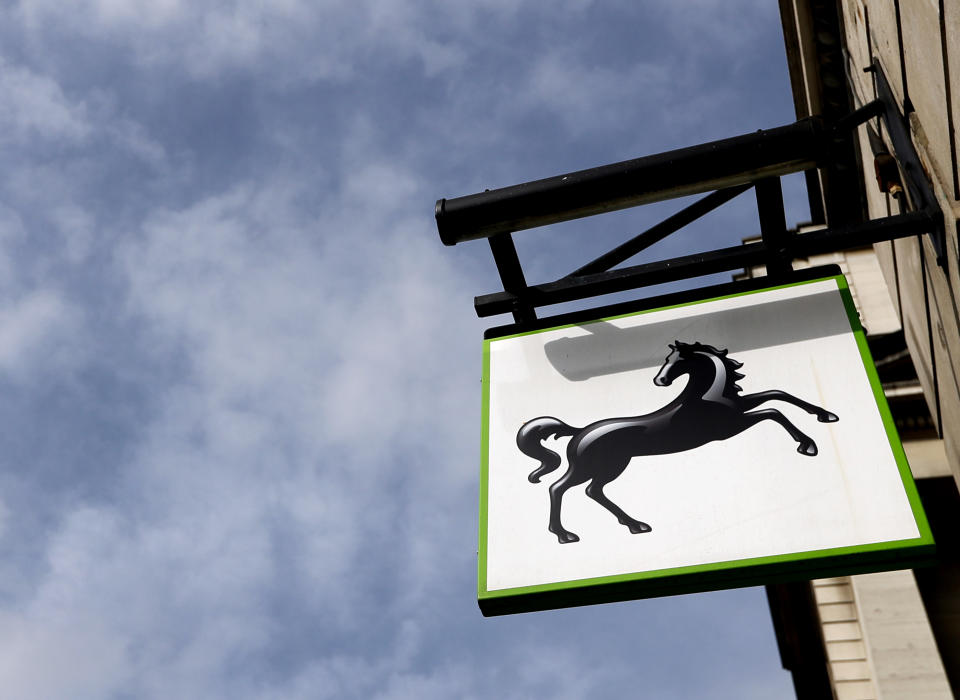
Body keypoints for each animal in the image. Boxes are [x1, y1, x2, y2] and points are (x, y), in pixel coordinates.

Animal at [516, 342, 840, 544]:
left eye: (677, 361)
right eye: (667, 360)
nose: (659, 380)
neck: (705, 396)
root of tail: (579, 431)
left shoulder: (739, 408)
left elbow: (778, 394)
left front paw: (825, 415)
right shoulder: (730, 427)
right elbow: (773, 411)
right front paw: (807, 444)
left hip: (612, 465)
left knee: (592, 491)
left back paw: (635, 526)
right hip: (597, 466)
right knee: (559, 488)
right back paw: (565, 534)